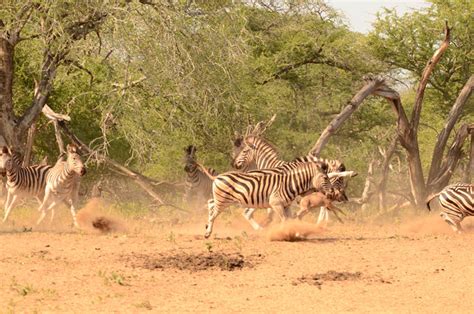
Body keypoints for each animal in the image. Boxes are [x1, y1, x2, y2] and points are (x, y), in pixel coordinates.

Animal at [202, 162, 332, 238]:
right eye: (325, 178)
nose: (332, 191)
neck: (290, 183)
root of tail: (218, 176)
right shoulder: (276, 204)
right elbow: (284, 219)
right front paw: (285, 234)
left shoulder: (286, 205)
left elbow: (290, 219)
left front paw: (294, 233)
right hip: (223, 200)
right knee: (213, 214)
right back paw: (208, 233)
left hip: (221, 200)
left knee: (210, 204)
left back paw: (207, 227)